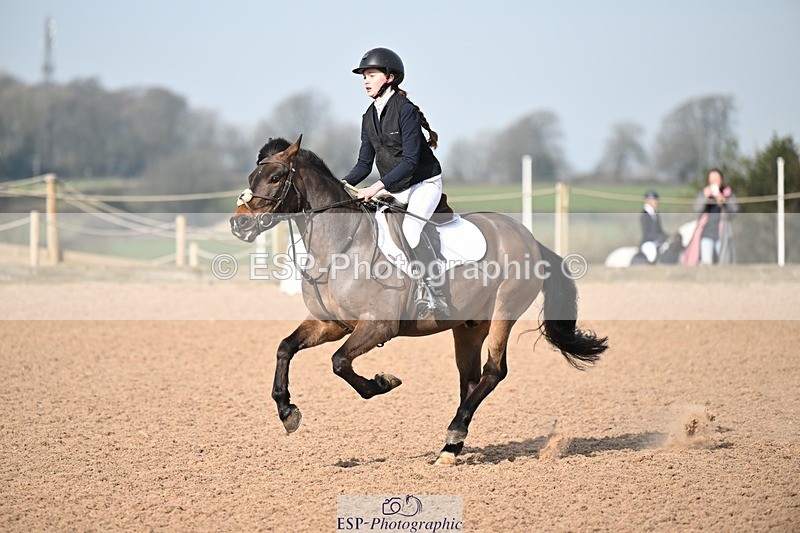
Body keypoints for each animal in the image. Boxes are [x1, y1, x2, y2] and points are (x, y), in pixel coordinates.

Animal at [230, 135, 608, 465]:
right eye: (251, 177)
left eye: (276, 177)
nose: (238, 225)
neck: (342, 246)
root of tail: (529, 239)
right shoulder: (331, 324)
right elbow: (285, 348)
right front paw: (287, 412)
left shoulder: (378, 327)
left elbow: (339, 362)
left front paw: (382, 383)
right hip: (469, 326)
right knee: (470, 378)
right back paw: (450, 447)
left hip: (505, 312)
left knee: (494, 371)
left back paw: (454, 434)